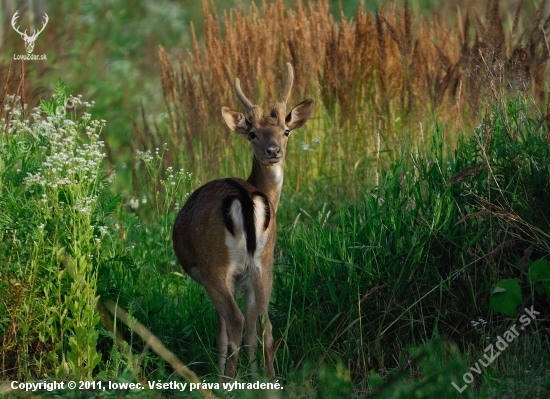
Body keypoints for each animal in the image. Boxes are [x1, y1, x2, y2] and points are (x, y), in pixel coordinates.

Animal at [175, 64, 316, 380]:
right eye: (252, 134)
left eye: (286, 131)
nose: (273, 151)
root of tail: (244, 195)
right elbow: (254, 330)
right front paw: (254, 377)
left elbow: (222, 333)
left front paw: (223, 375)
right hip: (265, 262)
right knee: (265, 322)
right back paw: (270, 378)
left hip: (215, 265)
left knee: (235, 321)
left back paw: (227, 381)